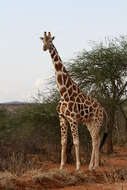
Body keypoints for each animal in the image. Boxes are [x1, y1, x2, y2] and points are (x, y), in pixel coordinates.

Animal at [40, 31, 107, 171]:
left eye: (50, 41)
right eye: (42, 40)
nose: (44, 48)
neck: (64, 93)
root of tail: (102, 108)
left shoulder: (73, 118)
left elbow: (76, 142)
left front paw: (77, 167)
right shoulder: (62, 118)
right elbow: (63, 142)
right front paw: (61, 166)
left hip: (97, 121)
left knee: (94, 139)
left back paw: (91, 166)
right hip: (89, 122)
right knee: (96, 139)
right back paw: (95, 165)